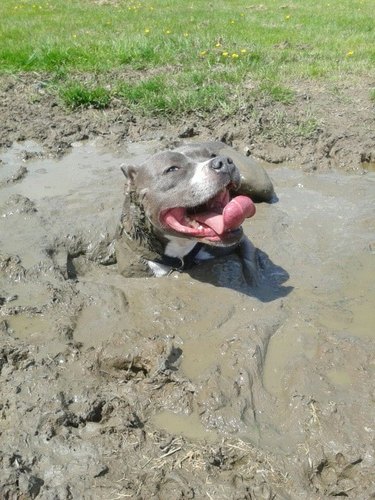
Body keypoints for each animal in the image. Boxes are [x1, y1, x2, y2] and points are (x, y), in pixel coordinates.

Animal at [116, 143, 274, 280]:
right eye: (172, 169)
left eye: (212, 155)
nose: (224, 161)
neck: (181, 250)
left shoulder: (241, 241)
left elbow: (250, 265)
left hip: (259, 185)